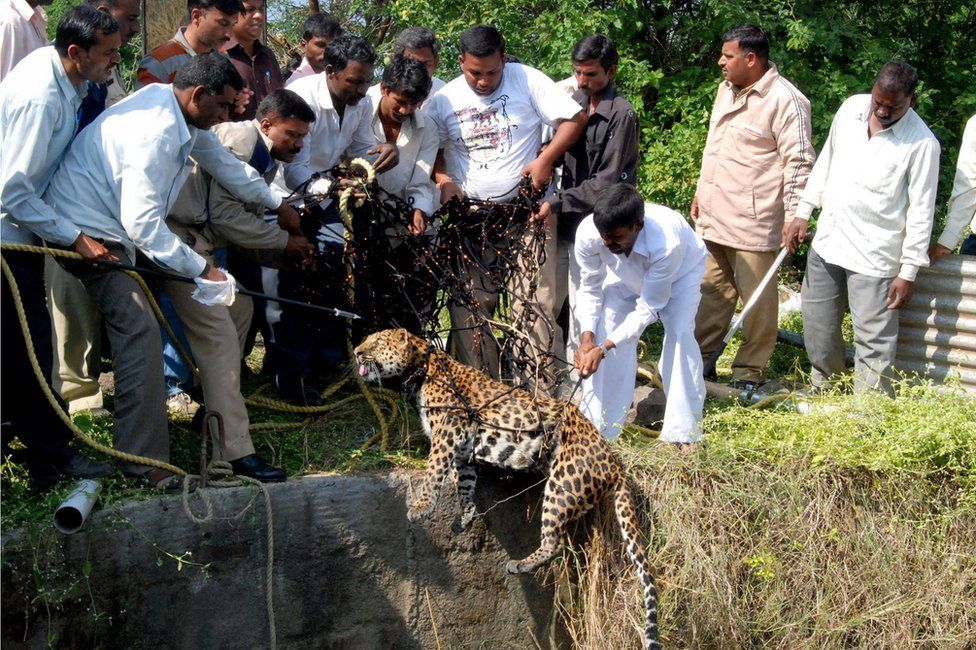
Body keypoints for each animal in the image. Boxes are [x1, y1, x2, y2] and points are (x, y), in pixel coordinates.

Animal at [354, 330, 660, 648]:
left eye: (376, 343)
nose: (356, 351)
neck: (422, 367)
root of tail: (615, 462)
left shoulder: (447, 432)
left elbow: (434, 469)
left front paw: (422, 506)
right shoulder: (463, 447)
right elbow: (465, 481)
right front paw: (464, 516)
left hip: (562, 485)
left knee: (555, 542)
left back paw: (520, 564)